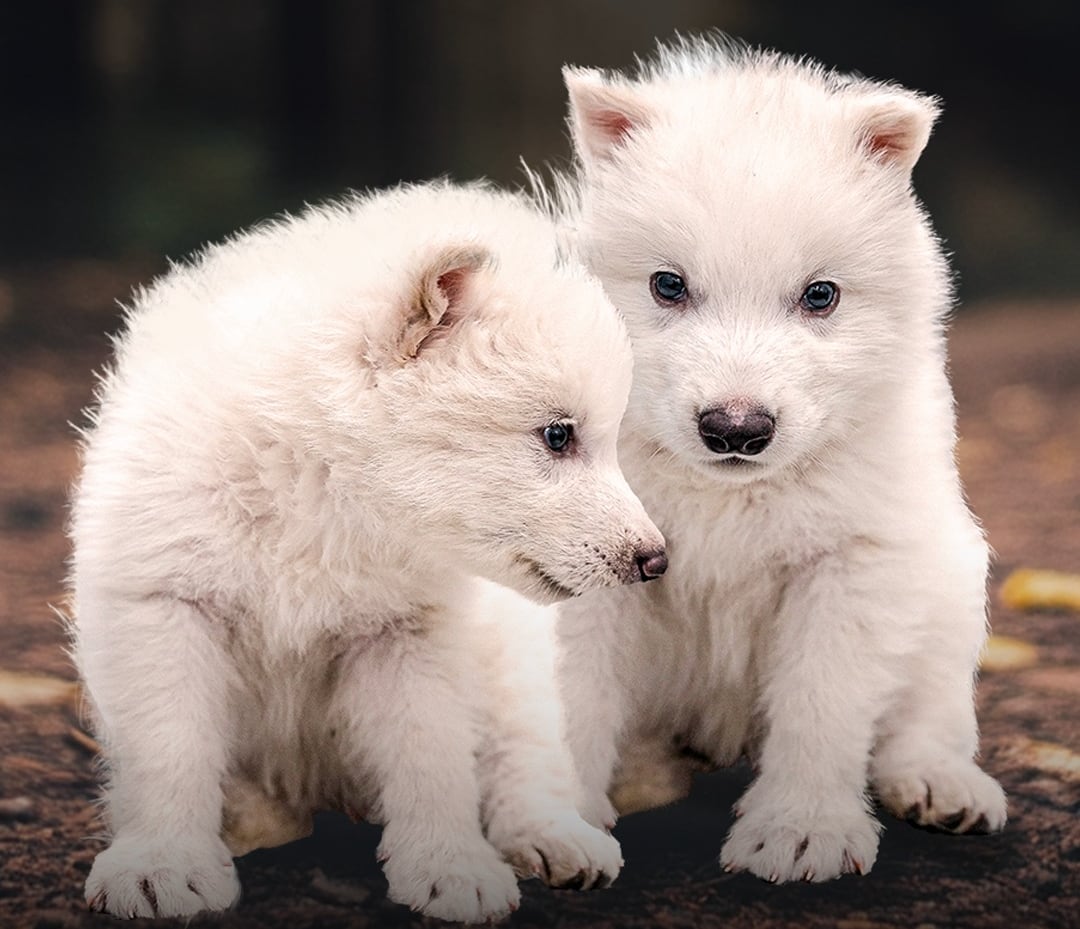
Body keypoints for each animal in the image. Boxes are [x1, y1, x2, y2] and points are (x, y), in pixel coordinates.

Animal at [68, 180, 666, 920]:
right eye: (558, 435)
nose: (655, 558)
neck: (321, 494)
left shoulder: (412, 631)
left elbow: (430, 755)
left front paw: (448, 866)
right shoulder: (163, 604)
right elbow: (168, 745)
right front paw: (163, 862)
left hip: (508, 656)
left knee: (527, 751)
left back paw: (553, 834)